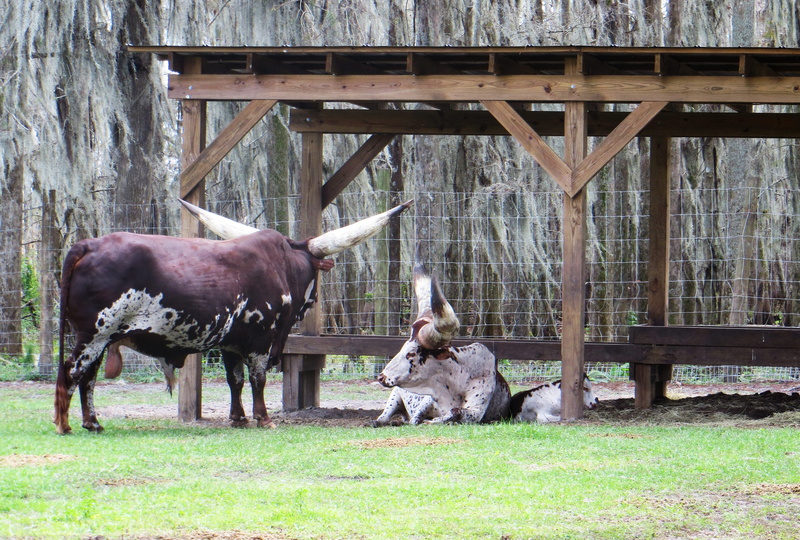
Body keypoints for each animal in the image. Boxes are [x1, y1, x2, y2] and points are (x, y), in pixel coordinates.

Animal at [54, 199, 412, 434]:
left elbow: (234, 379)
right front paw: (263, 418)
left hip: (101, 339)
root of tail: (87, 245)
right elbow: (258, 378)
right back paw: (64, 424)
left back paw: (92, 422)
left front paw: (238, 417)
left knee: (87, 377)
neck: (283, 265)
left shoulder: (230, 343)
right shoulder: (262, 339)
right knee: (73, 370)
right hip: (94, 333)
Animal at [374, 260, 511, 425]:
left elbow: (456, 411)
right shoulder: (427, 401)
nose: (381, 377)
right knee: (382, 418)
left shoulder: (476, 411)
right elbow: (417, 418)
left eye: (411, 353)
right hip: (394, 397)